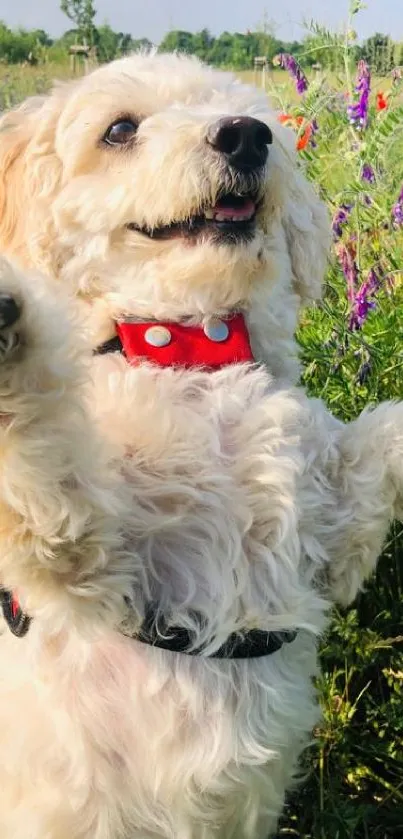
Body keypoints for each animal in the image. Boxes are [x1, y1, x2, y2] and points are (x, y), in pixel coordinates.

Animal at [0, 52, 400, 839]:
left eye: (256, 117)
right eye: (119, 129)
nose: (246, 136)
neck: (190, 348)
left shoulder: (332, 544)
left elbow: (384, 440)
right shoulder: (87, 559)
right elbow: (42, 445)